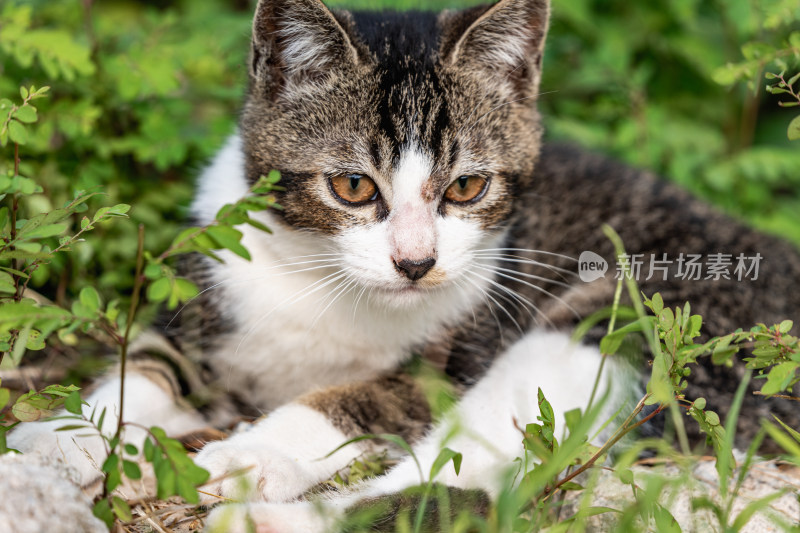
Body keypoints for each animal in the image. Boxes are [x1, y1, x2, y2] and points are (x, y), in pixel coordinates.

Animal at [6, 0, 800, 528]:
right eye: (353, 186)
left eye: (467, 188)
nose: (415, 262)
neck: (322, 279)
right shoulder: (204, 306)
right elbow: (142, 369)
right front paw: (55, 443)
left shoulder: (450, 361)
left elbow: (356, 400)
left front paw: (253, 453)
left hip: (628, 325)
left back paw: (273, 508)